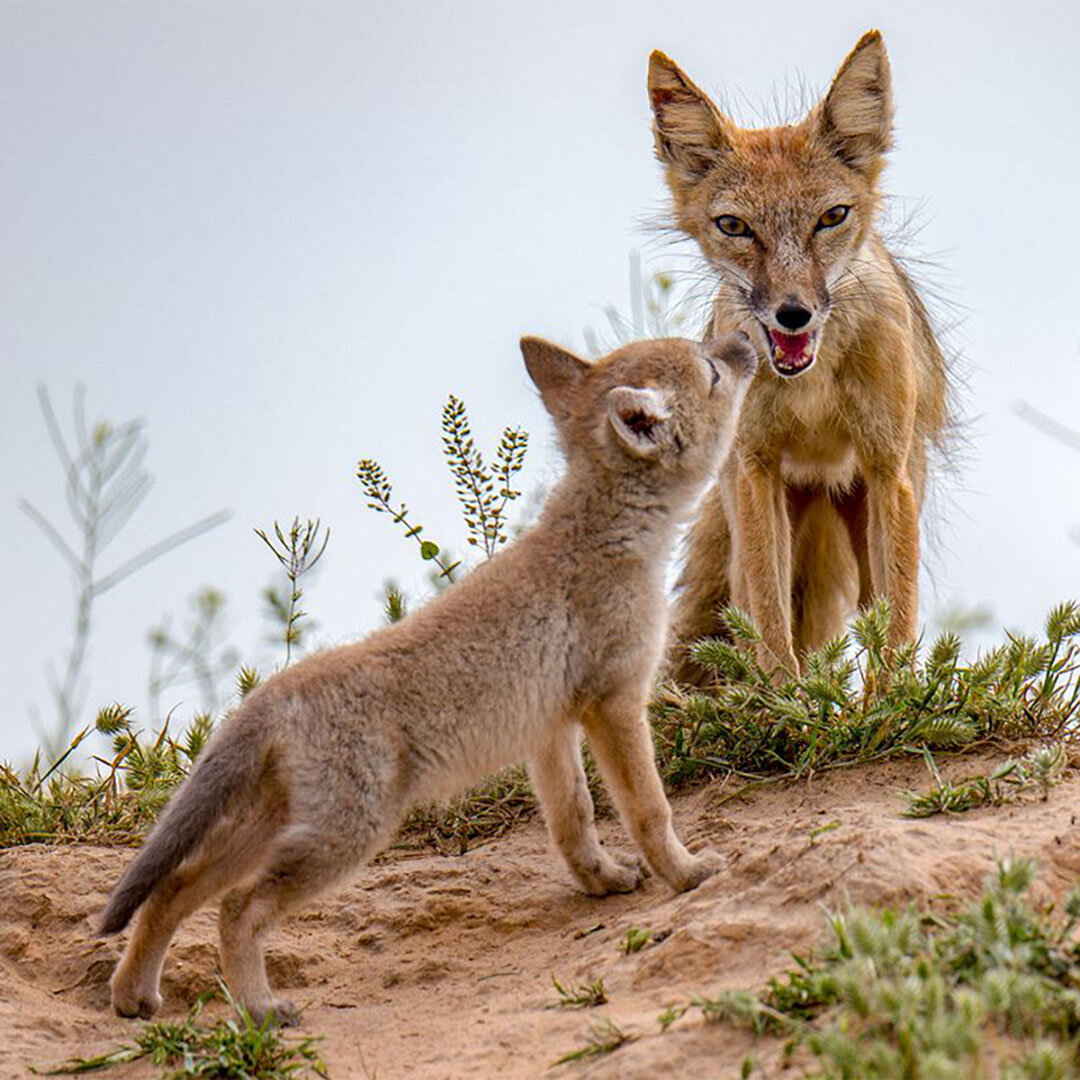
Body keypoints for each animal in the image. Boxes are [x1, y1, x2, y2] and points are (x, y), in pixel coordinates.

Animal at [643, 33, 950, 678]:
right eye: (734, 226)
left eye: (831, 217)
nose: (793, 314)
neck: (813, 391)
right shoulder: (756, 470)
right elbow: (768, 619)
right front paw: (784, 697)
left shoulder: (887, 470)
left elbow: (897, 628)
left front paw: (895, 699)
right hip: (758, 513)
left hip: (864, 518)